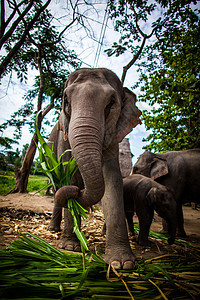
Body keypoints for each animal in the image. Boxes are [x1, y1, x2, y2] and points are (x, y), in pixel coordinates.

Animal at [49, 68, 141, 270]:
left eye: (111, 102)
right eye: (66, 100)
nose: (78, 192)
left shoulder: (113, 135)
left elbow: (112, 180)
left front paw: (122, 263)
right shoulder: (63, 138)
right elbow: (69, 177)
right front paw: (70, 246)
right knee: (56, 185)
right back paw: (53, 229)